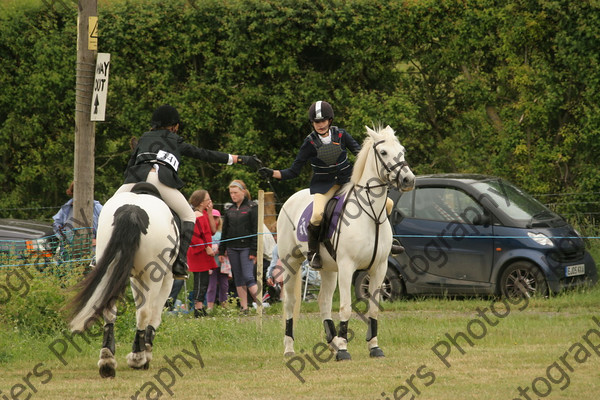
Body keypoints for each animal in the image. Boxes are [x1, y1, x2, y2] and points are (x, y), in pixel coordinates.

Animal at [69, 183, 176, 376]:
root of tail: (132, 210)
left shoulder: (134, 277)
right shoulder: (166, 278)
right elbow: (153, 316)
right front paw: (146, 352)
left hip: (111, 267)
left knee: (109, 310)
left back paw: (107, 360)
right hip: (153, 275)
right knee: (144, 312)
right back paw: (138, 357)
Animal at [278, 125, 414, 360]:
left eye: (402, 151)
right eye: (384, 152)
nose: (408, 180)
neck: (371, 215)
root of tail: (291, 199)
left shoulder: (379, 268)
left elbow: (373, 308)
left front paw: (374, 347)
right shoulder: (347, 266)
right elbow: (345, 308)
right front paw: (343, 349)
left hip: (328, 269)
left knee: (323, 301)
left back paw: (332, 342)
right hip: (292, 264)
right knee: (290, 303)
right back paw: (290, 348)